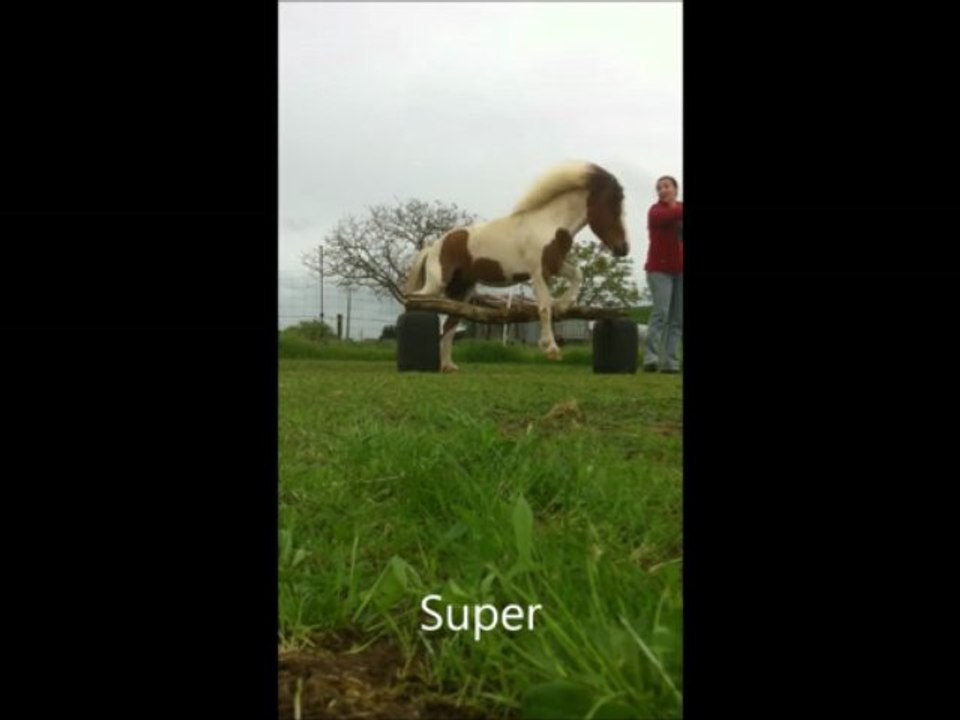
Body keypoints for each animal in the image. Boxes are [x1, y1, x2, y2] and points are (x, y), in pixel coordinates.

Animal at [402, 161, 629, 372]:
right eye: (613, 206)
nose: (623, 249)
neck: (549, 224)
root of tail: (433, 247)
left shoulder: (554, 266)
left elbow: (577, 275)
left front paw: (563, 304)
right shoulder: (538, 272)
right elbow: (544, 306)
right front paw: (551, 349)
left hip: (461, 290)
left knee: (450, 323)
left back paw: (447, 366)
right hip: (436, 284)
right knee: (414, 302)